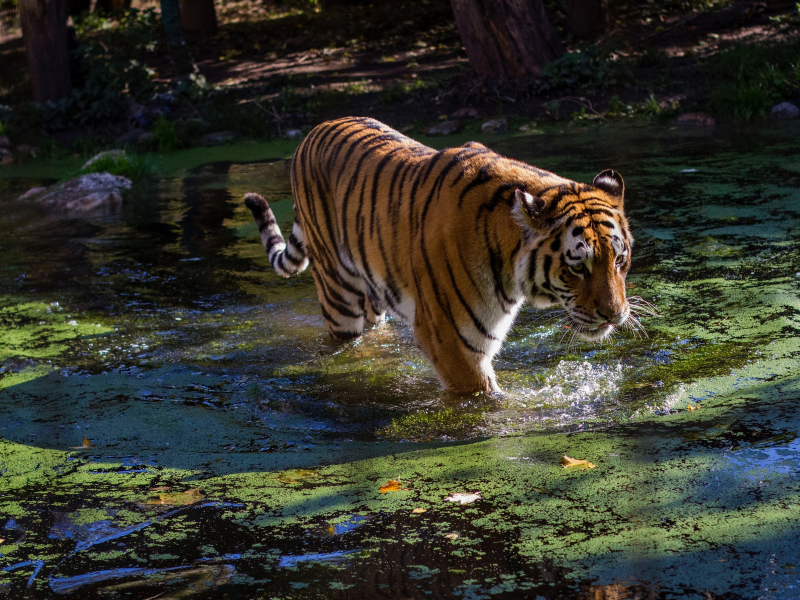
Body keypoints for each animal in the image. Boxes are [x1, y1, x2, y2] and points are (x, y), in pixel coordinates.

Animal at [244, 118, 636, 394]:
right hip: (339, 296)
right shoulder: (451, 341)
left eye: (619, 260)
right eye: (578, 267)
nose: (615, 315)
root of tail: (310, 134)